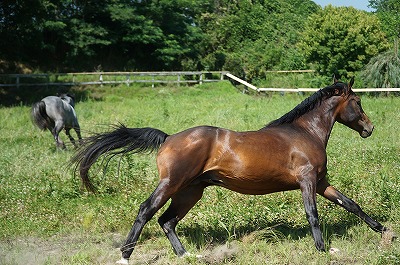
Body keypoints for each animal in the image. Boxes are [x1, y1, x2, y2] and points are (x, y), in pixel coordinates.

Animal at [72, 77, 388, 262]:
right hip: (171, 184)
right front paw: (322, 249)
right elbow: (313, 214)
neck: (305, 132)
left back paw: (187, 255)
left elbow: (350, 204)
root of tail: (169, 137)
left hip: (190, 192)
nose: (370, 128)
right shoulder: (307, 181)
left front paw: (383, 230)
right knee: (146, 211)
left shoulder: (321, 182)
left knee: (167, 221)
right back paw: (125, 256)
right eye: (358, 101)